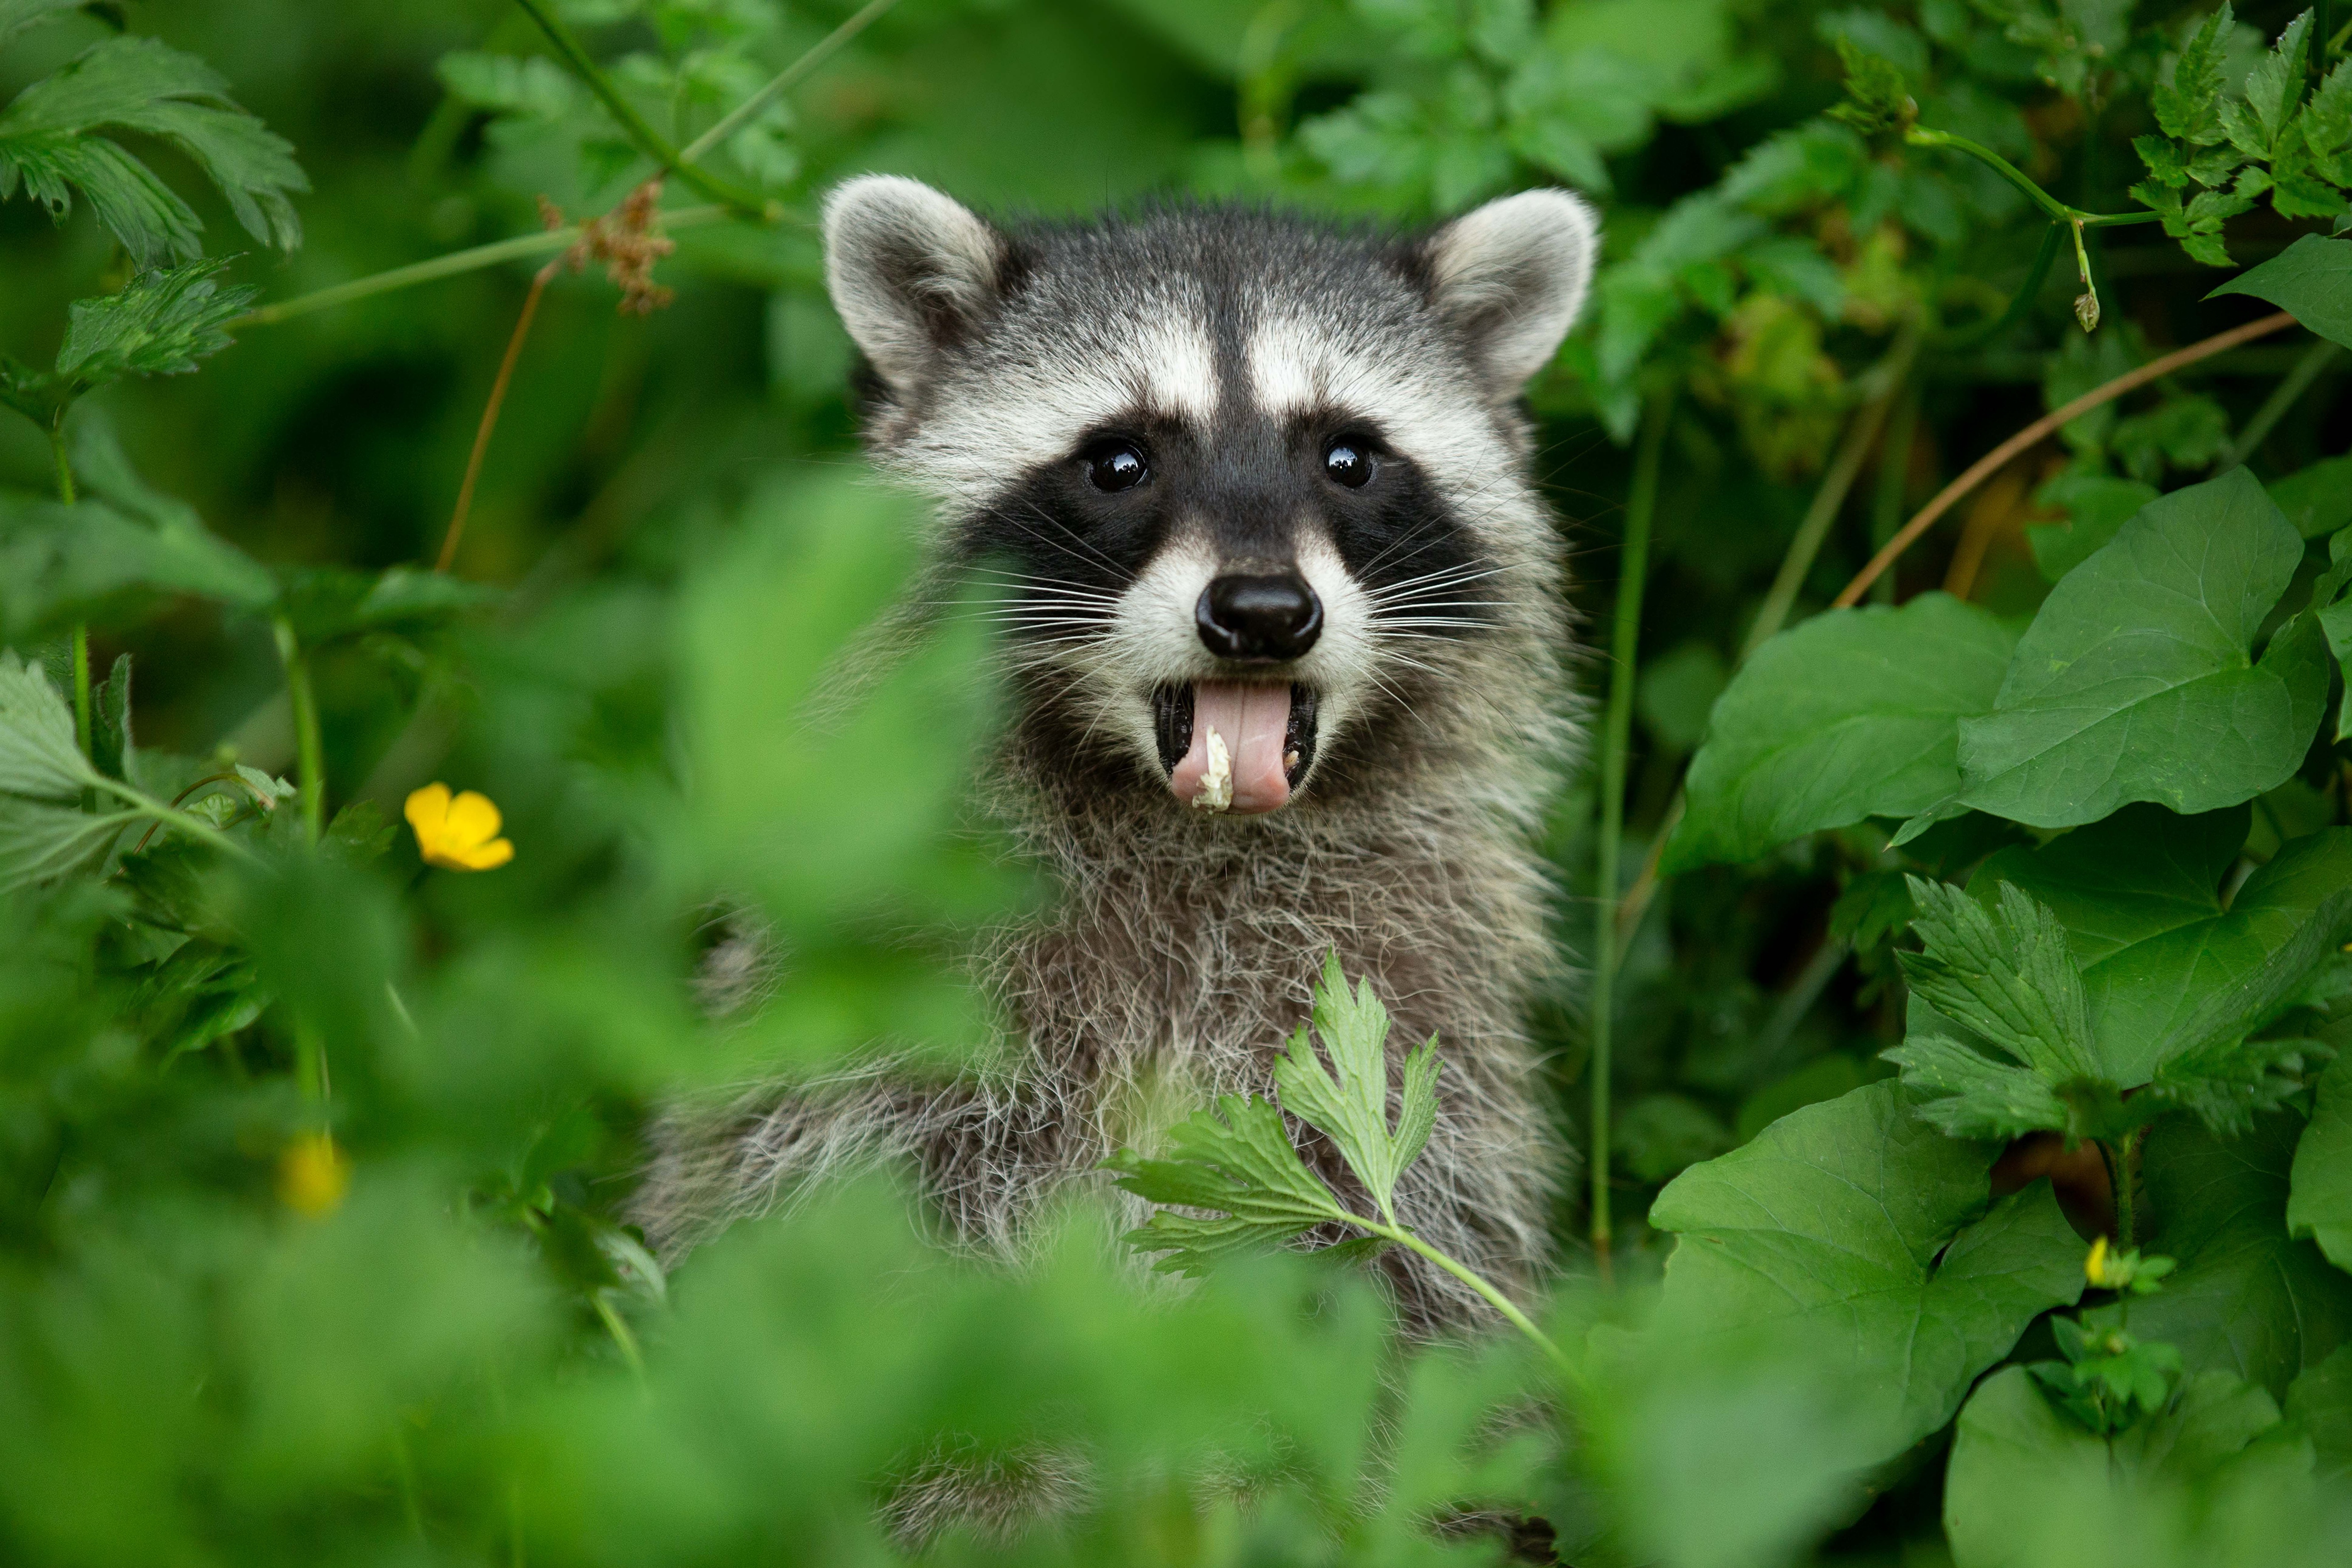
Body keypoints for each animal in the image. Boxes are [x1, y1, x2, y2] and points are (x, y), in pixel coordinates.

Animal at [640, 175, 1599, 1335]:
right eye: (1118, 461)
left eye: (1349, 457)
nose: (1264, 612)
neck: (1192, 834)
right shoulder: (898, 994)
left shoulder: (1420, 1005)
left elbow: (1421, 1259)